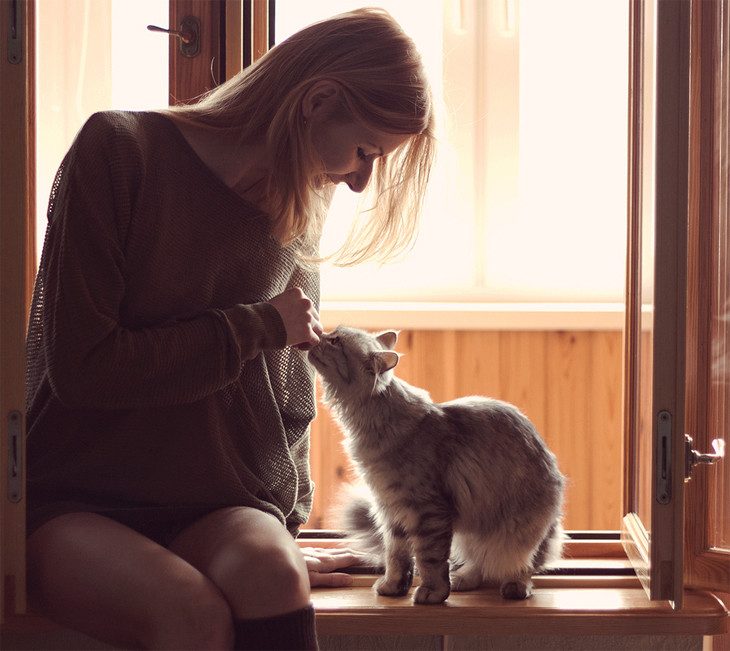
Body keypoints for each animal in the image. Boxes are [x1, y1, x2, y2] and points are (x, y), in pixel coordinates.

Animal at [306, 326, 564, 608]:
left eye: (335, 341)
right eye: (333, 334)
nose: (318, 335)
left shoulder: (428, 511)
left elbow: (428, 559)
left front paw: (432, 593)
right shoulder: (391, 510)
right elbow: (396, 556)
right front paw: (393, 587)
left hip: (519, 530)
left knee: (522, 564)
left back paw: (514, 586)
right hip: (470, 534)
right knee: (481, 564)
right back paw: (463, 578)